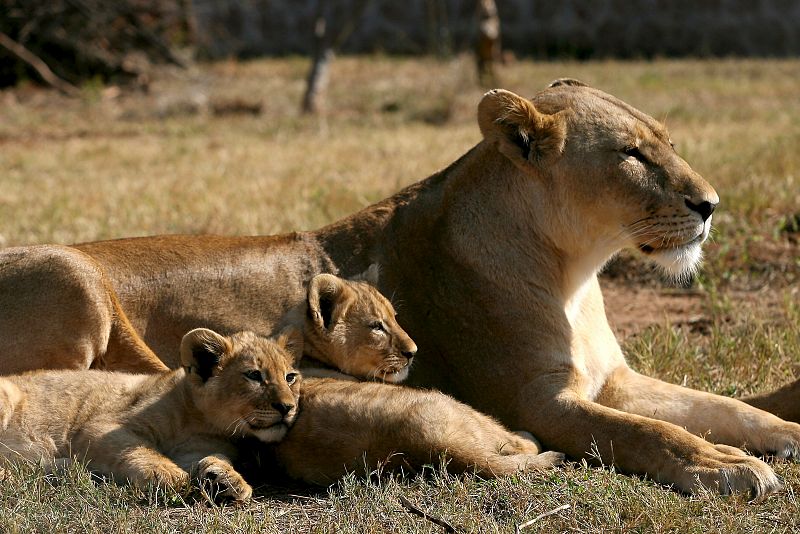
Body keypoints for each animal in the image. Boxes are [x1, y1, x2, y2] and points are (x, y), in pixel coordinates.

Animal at [0, 327, 302, 501]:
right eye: (254, 376)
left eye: (290, 377)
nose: (288, 407)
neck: (203, 421)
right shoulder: (100, 427)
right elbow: (138, 449)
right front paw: (167, 475)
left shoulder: (197, 448)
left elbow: (214, 458)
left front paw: (226, 481)